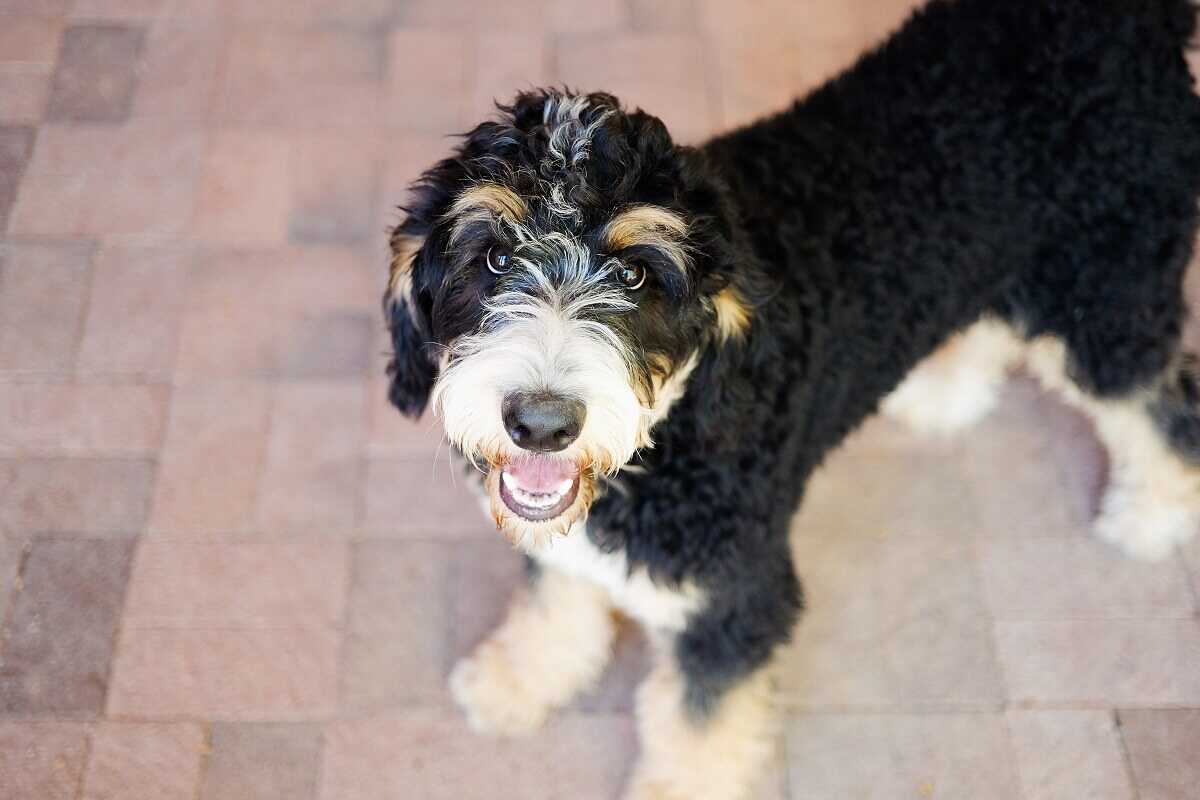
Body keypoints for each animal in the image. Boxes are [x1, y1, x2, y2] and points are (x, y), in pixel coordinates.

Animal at [381, 3, 1200, 796]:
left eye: (638, 275)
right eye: (493, 257)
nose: (541, 423)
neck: (671, 441)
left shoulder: (736, 599)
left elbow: (701, 724)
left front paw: (679, 783)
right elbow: (555, 602)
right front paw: (517, 680)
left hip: (1104, 296)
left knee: (1163, 403)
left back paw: (1154, 514)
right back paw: (945, 394)